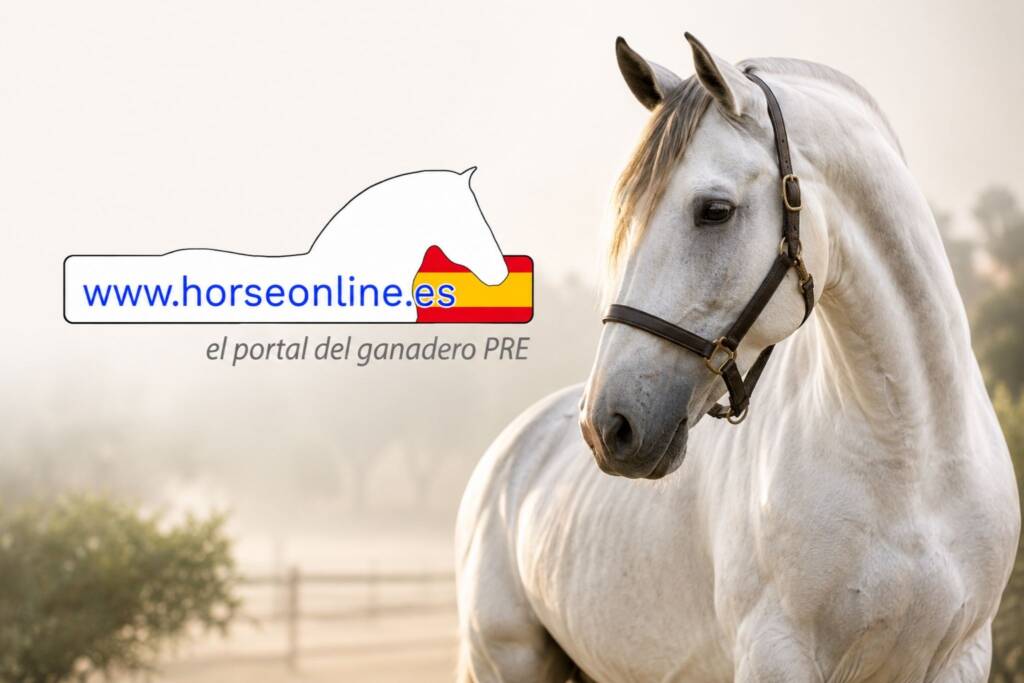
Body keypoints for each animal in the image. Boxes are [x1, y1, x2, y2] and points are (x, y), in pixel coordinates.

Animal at [455, 33, 1020, 682]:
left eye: (715, 210)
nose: (607, 426)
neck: (913, 463)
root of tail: (508, 452)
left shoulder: (963, 655)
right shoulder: (775, 654)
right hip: (503, 659)